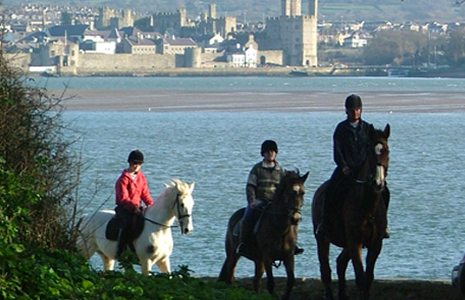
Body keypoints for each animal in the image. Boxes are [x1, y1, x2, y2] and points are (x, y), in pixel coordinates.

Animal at [218, 170, 308, 298]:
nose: (295, 218)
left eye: (303, 193)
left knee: (256, 281)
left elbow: (291, 281)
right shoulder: (267, 257)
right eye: (289, 192)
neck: (280, 228)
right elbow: (271, 284)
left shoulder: (289, 256)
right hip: (233, 255)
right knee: (230, 278)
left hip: (258, 261)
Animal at [312, 123, 388, 300]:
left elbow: (369, 278)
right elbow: (361, 278)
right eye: (370, 152)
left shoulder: (376, 244)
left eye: (387, 151)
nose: (378, 182)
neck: (368, 206)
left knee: (340, 263)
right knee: (325, 271)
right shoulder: (355, 242)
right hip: (322, 239)